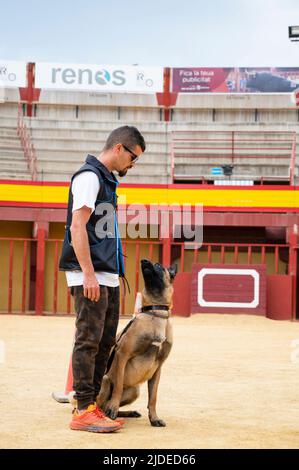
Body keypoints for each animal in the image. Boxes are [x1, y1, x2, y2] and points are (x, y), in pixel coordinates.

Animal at [96, 258, 177, 428]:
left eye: (158, 265)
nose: (143, 260)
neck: (156, 312)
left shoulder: (158, 367)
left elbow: (153, 398)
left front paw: (154, 418)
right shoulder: (122, 354)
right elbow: (118, 386)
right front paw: (113, 409)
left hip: (134, 391)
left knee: (107, 406)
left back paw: (128, 413)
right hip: (105, 380)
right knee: (101, 405)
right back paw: (107, 414)